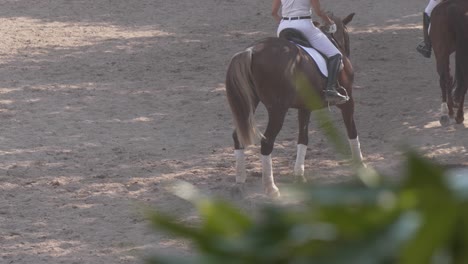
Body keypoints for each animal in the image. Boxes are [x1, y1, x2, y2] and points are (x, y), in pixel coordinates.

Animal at [225, 13, 364, 197]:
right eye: (346, 36)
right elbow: (352, 131)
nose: (346, 53)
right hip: (278, 110)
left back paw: (240, 182)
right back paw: (271, 188)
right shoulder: (348, 102)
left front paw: (299, 176)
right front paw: (361, 166)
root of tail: (251, 51)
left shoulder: (305, 107)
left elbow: (303, 138)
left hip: (250, 103)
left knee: (238, 136)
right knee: (267, 142)